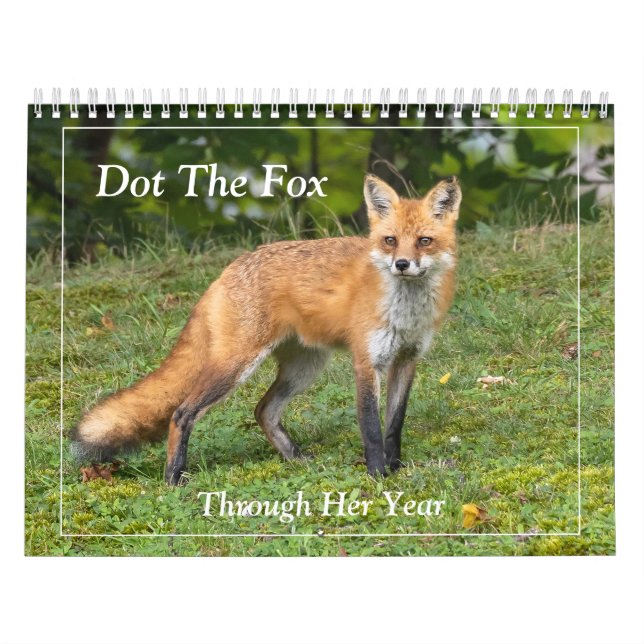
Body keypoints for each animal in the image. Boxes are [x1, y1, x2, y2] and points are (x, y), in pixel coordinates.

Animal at [72, 174, 461, 484]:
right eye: (390, 240)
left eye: (424, 241)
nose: (402, 264)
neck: (405, 311)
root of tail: (226, 271)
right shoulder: (367, 361)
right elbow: (371, 427)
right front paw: (378, 474)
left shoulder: (406, 359)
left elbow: (394, 424)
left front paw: (396, 467)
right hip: (236, 365)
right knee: (181, 413)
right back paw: (173, 478)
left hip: (304, 367)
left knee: (263, 411)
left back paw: (296, 459)